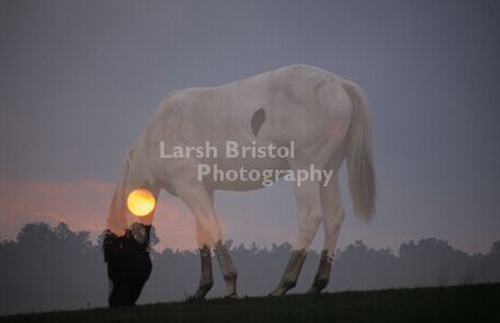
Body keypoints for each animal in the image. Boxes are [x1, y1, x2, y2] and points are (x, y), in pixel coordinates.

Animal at [101, 64, 376, 308]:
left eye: (113, 257)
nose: (115, 302)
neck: (158, 134)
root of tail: (340, 84)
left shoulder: (189, 186)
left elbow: (212, 227)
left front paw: (230, 286)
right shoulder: (204, 189)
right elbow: (202, 232)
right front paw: (201, 290)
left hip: (305, 170)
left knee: (311, 217)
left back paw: (283, 285)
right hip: (328, 171)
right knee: (334, 217)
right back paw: (317, 284)